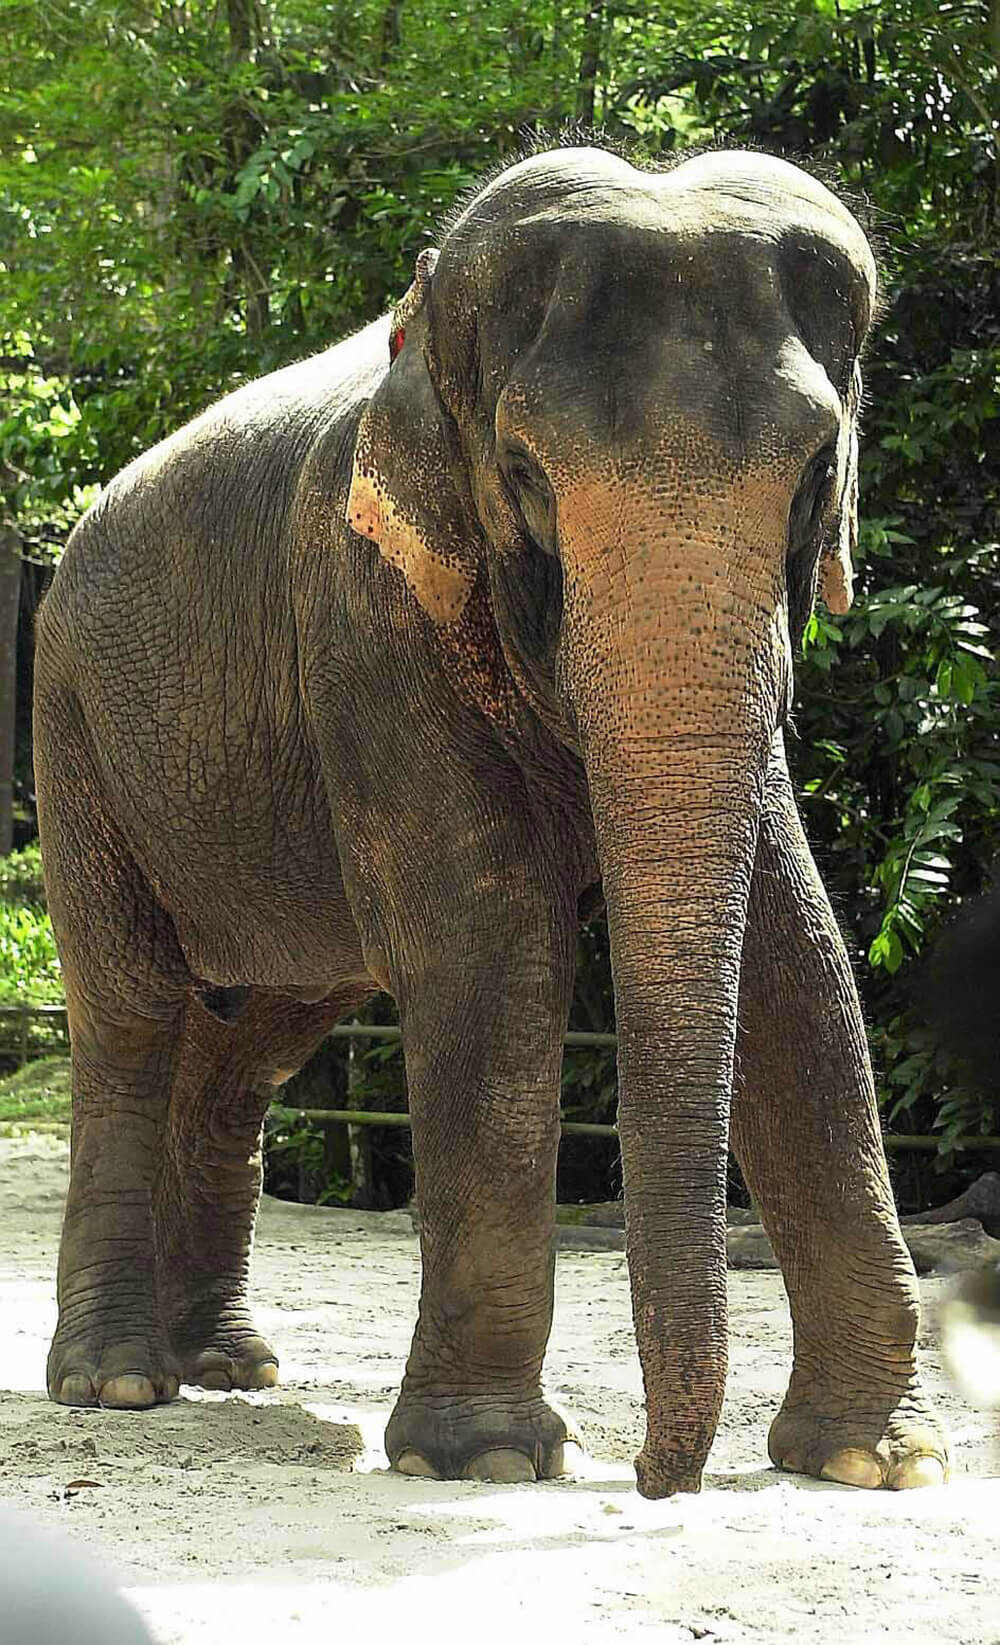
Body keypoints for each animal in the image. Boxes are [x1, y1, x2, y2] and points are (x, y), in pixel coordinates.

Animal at [33, 143, 948, 1498]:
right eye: (523, 475)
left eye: (813, 473)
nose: (657, 1481)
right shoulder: (359, 611)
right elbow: (489, 941)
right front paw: (488, 1459)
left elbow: (800, 954)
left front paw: (873, 1462)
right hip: (75, 730)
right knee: (134, 1015)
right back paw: (119, 1383)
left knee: (254, 1040)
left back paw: (231, 1367)